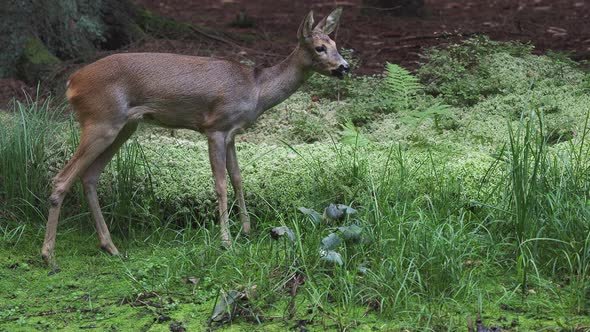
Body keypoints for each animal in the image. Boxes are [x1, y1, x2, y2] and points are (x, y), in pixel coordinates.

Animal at [41, 7, 352, 268]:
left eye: (337, 44)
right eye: (319, 47)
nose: (344, 66)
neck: (256, 89)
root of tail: (71, 83)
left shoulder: (232, 133)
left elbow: (238, 179)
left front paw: (247, 231)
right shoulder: (215, 127)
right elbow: (221, 184)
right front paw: (226, 241)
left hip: (123, 126)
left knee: (89, 176)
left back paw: (110, 247)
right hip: (100, 121)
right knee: (62, 178)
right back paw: (49, 256)